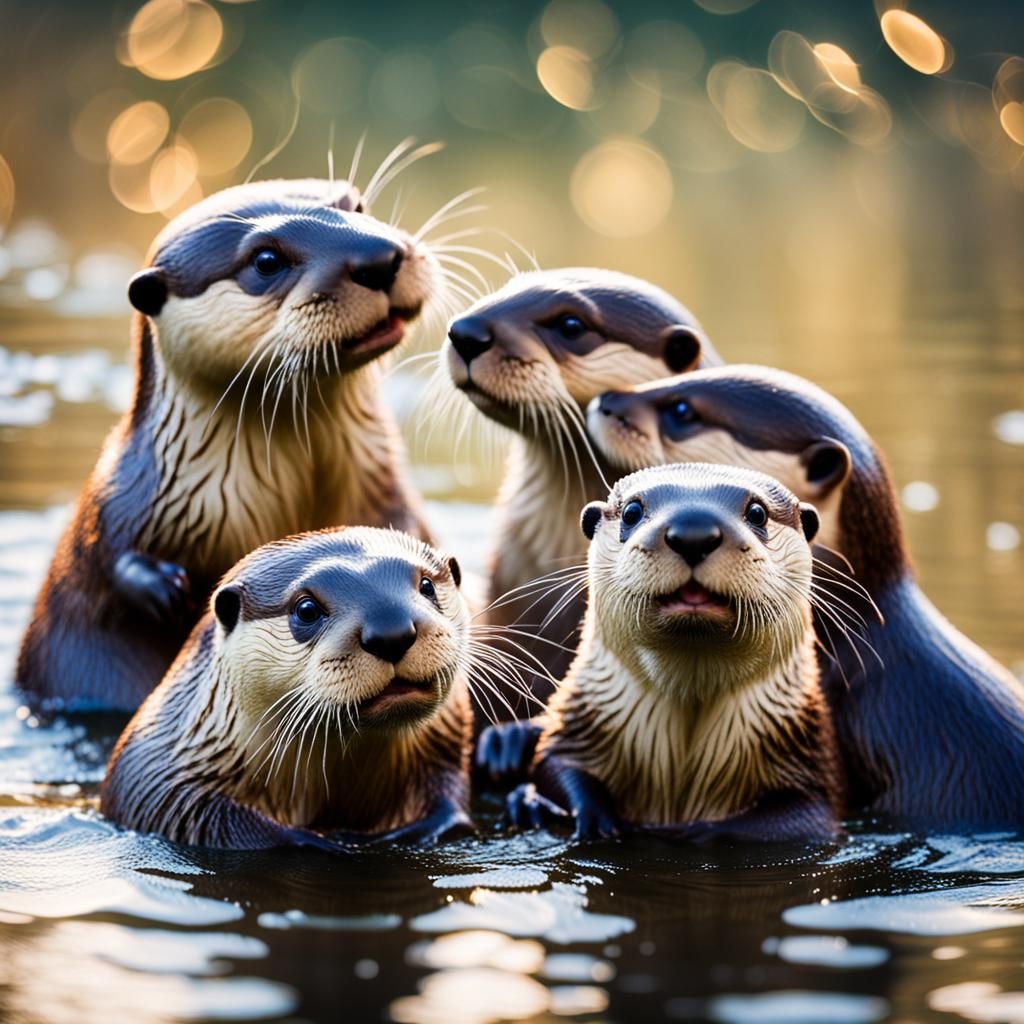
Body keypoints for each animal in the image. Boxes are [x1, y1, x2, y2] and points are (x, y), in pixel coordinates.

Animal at [18, 177, 440, 712]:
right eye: (266, 260)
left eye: (357, 208)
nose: (379, 258)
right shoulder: (124, 500)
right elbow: (104, 552)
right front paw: (163, 587)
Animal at [506, 463, 841, 842]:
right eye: (631, 512)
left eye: (757, 512)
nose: (693, 532)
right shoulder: (576, 725)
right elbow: (554, 763)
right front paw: (590, 817)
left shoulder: (808, 766)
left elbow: (801, 820)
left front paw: (678, 834)